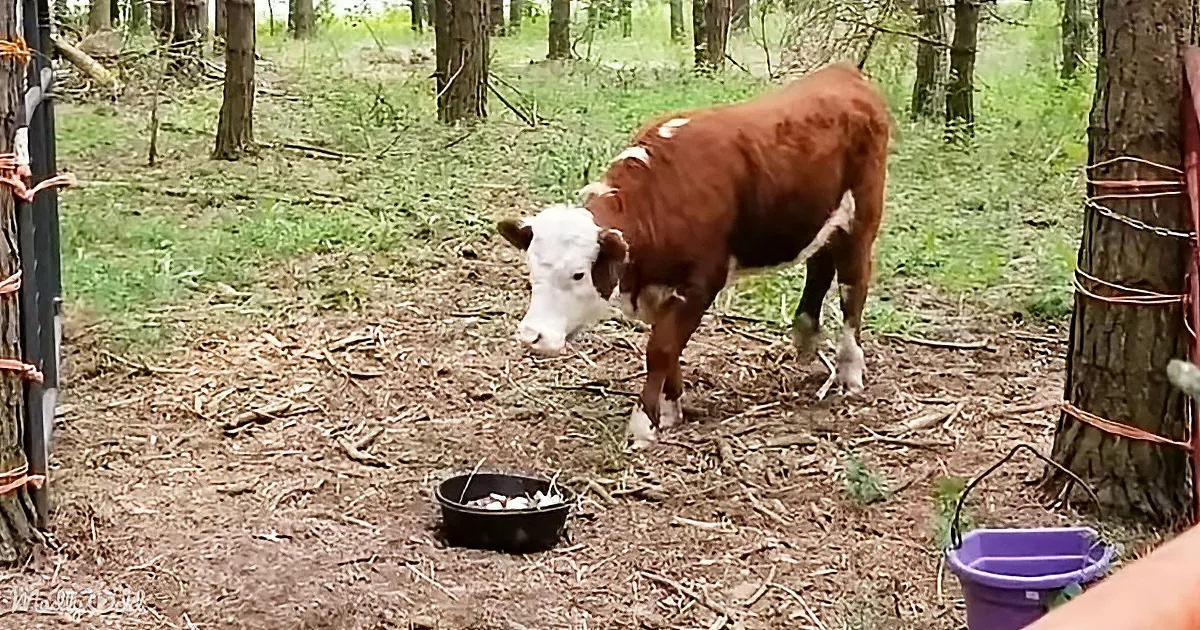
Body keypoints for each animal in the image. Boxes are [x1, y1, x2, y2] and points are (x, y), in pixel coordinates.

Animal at [496, 62, 891, 448]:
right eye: (532, 271)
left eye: (578, 273)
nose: (532, 336)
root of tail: (843, 72)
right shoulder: (659, 289)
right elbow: (667, 347)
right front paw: (671, 409)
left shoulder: (701, 283)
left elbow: (661, 348)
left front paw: (644, 424)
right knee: (820, 266)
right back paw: (807, 340)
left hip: (861, 217)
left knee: (853, 288)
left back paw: (850, 370)